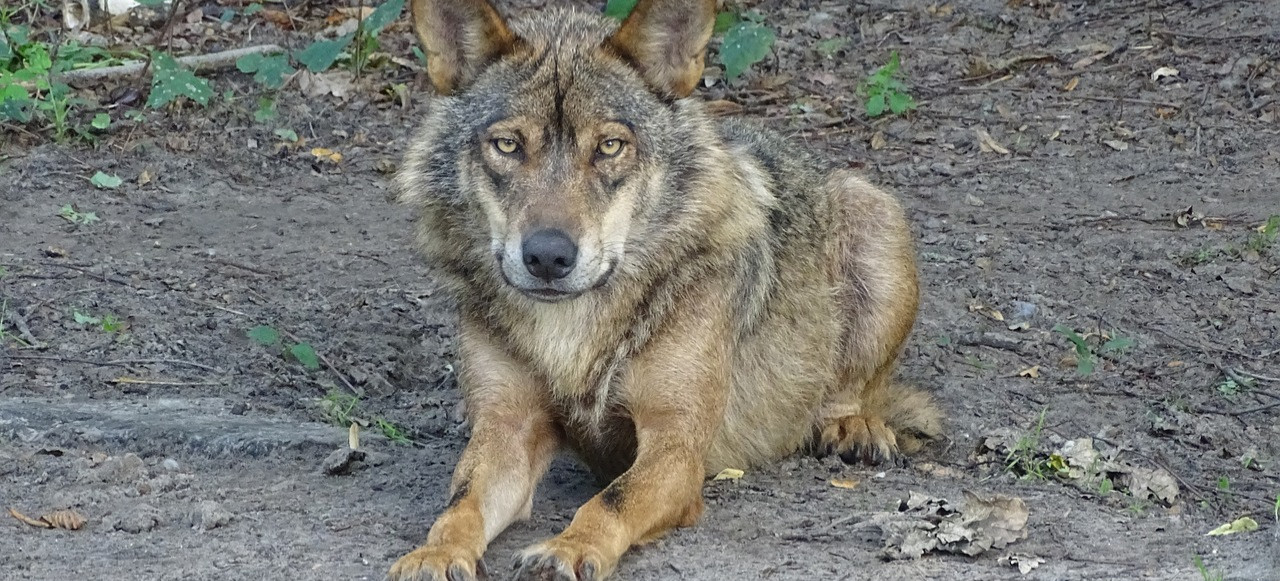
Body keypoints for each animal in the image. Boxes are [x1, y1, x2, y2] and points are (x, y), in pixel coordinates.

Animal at [384, 1, 947, 575]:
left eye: (609, 146)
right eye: (508, 145)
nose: (547, 256)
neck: (571, 332)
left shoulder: (676, 446)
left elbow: (611, 501)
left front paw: (570, 547)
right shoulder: (507, 429)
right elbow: (461, 504)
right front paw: (435, 552)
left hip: (874, 213)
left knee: (850, 391)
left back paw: (853, 428)